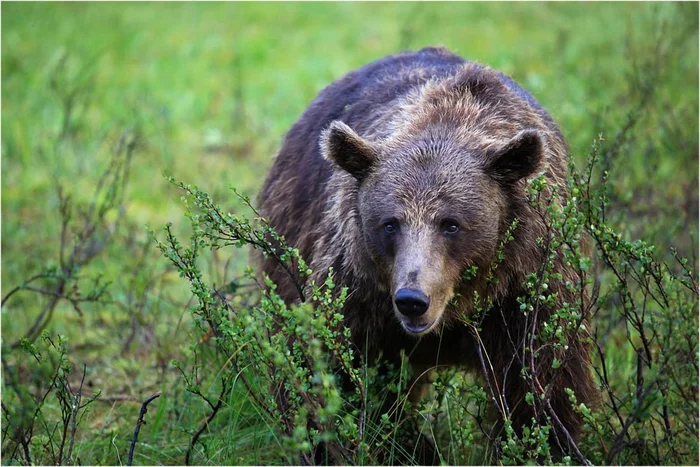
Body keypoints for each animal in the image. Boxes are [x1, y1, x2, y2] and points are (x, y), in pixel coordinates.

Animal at [258, 47, 596, 460]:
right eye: (390, 223)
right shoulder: (359, 290)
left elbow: (541, 385)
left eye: (451, 224)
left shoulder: (526, 287)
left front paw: (547, 442)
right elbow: (341, 371)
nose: (412, 300)